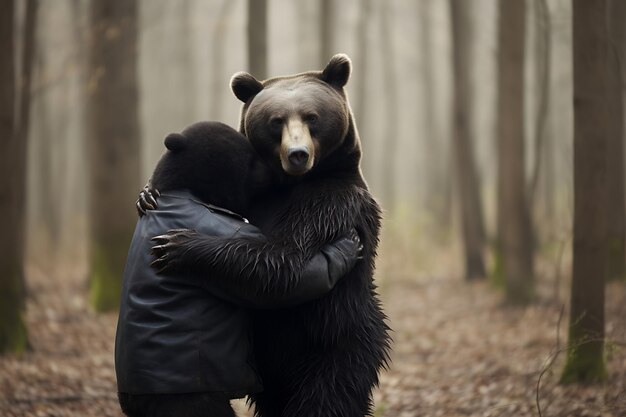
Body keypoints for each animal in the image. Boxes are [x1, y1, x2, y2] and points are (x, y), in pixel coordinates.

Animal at [116, 120, 360, 416]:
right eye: (251, 159)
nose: (277, 171)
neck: (185, 192)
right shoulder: (234, 230)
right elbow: (277, 273)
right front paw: (343, 250)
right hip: (190, 400)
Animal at [149, 55, 390, 416]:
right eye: (276, 121)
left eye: (312, 117)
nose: (298, 154)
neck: (289, 186)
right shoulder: (256, 198)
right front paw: (147, 195)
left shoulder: (331, 204)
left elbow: (286, 261)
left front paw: (180, 245)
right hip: (268, 362)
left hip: (336, 334)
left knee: (330, 391)